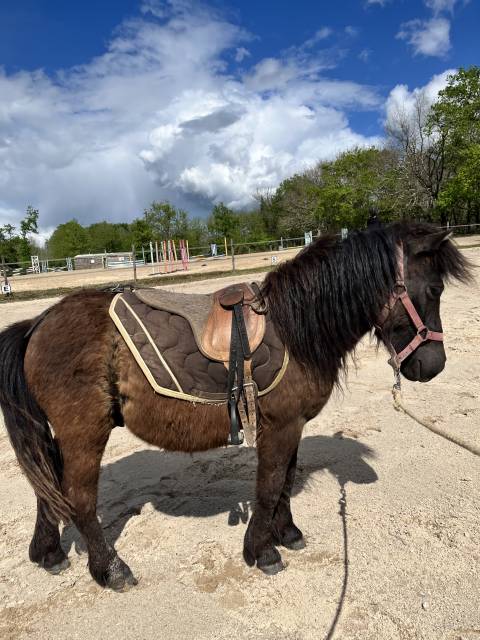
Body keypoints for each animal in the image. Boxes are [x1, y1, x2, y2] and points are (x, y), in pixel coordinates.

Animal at [0, 222, 472, 591]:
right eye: (433, 289)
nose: (432, 365)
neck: (297, 328)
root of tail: (38, 323)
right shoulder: (280, 425)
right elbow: (269, 485)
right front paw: (262, 552)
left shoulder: (293, 426)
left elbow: (285, 481)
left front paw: (287, 533)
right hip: (85, 432)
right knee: (78, 497)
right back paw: (111, 570)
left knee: (48, 487)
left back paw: (49, 553)